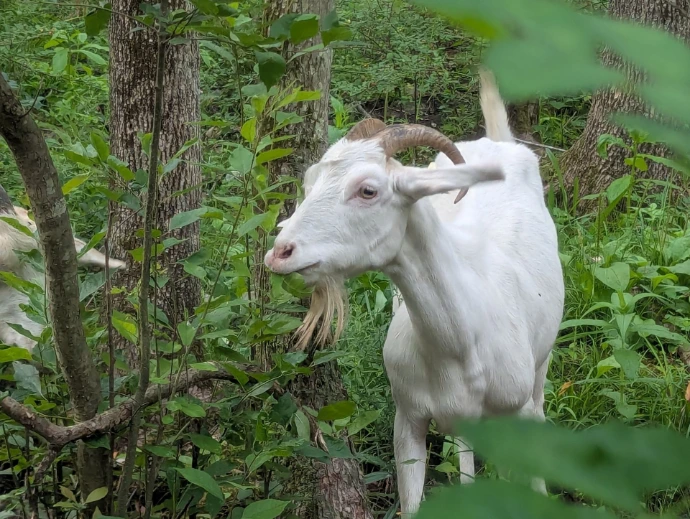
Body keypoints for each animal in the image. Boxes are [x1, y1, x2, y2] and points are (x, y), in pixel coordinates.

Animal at [264, 69, 564, 516]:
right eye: (309, 182)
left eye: (368, 190)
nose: (280, 252)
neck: (462, 340)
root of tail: (500, 141)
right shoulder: (407, 419)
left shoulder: (516, 415)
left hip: (540, 368)